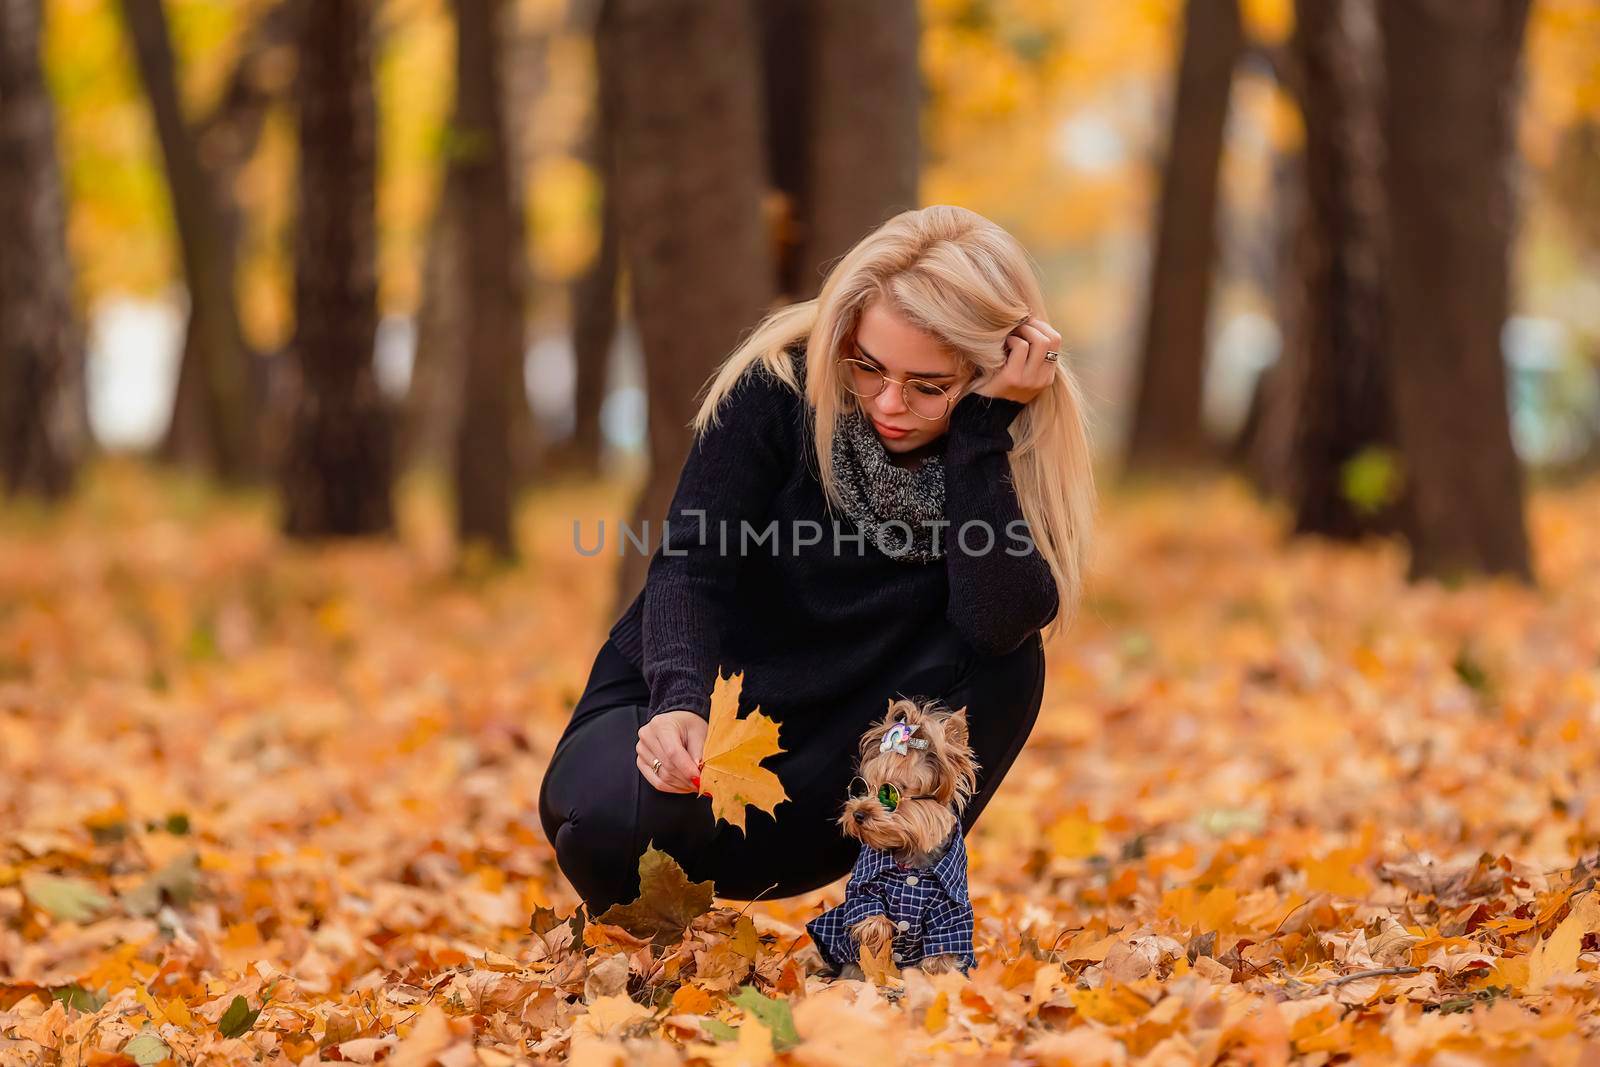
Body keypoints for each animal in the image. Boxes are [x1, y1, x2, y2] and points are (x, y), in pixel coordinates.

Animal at [806, 697, 979, 979]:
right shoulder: (864, 884)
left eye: (890, 792)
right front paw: (876, 930)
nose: (858, 813)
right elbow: (865, 904)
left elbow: (945, 945)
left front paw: (940, 978)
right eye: (862, 787)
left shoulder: (951, 908)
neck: (910, 858)